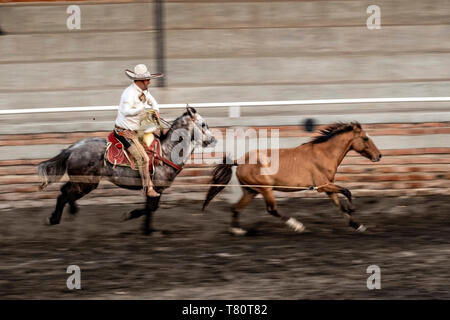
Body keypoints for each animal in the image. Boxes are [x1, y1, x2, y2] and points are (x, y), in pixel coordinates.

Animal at [37, 106, 216, 234]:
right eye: (203, 124)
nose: (213, 140)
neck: (165, 152)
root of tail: (73, 148)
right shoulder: (156, 188)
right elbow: (151, 208)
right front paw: (137, 222)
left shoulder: (156, 190)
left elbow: (151, 208)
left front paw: (146, 228)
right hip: (86, 183)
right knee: (64, 194)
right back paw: (54, 219)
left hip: (81, 181)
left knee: (64, 191)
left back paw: (70, 212)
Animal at [202, 122, 382, 235]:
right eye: (365, 138)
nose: (379, 155)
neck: (324, 154)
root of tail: (239, 161)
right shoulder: (323, 185)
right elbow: (347, 191)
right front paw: (353, 209)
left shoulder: (328, 188)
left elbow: (340, 206)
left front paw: (358, 226)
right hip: (265, 189)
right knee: (272, 209)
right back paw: (298, 226)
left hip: (251, 191)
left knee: (236, 208)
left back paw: (237, 230)